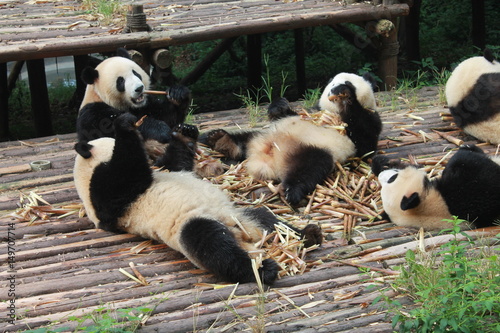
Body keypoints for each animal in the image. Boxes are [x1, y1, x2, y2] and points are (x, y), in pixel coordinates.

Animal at [72, 113, 322, 284]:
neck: (87, 171)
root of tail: (242, 235)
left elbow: (176, 163)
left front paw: (184, 131)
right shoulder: (107, 197)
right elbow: (128, 169)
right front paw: (125, 124)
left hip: (240, 215)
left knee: (268, 220)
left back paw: (308, 234)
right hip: (192, 225)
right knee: (214, 247)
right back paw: (263, 269)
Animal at [201, 72, 380, 205]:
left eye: (348, 82)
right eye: (331, 83)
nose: (334, 89)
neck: (331, 113)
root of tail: (269, 161)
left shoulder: (366, 121)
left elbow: (365, 142)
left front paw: (345, 95)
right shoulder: (311, 111)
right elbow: (287, 113)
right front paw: (279, 105)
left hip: (315, 151)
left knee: (307, 170)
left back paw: (290, 190)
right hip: (262, 135)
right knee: (243, 139)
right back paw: (220, 139)